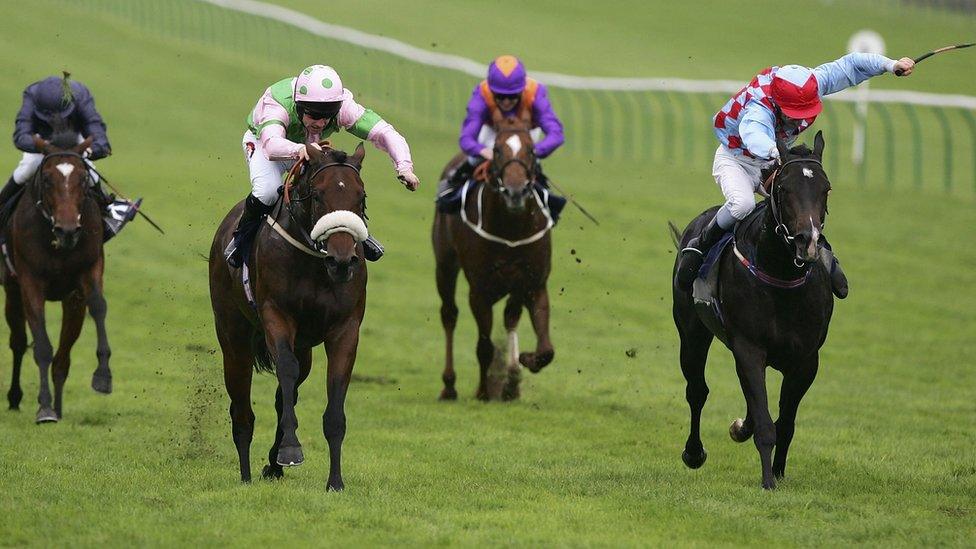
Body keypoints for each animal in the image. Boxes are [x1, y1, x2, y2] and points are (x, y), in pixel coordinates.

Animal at [2, 132, 113, 420]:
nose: (68, 230)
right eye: (48, 179)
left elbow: (97, 307)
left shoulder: (85, 277)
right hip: (11, 288)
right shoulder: (30, 282)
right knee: (18, 342)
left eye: (83, 179)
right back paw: (15, 397)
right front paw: (44, 408)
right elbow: (41, 345)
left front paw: (103, 376)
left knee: (60, 354)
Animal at [210, 142, 370, 488]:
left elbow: (333, 398)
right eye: (319, 195)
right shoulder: (276, 316)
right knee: (241, 406)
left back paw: (272, 463)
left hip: (305, 347)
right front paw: (291, 449)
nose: (342, 261)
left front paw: (335, 481)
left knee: (286, 394)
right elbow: (285, 368)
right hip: (233, 337)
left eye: (361, 196)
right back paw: (246, 474)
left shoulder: (346, 328)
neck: (314, 263)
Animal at [434, 109, 556, 400]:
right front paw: (483, 391)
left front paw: (522, 364)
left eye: (532, 150)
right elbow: (484, 345)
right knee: (449, 314)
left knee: (510, 316)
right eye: (498, 150)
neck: (511, 228)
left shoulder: (534, 284)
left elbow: (546, 349)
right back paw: (449, 385)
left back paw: (511, 379)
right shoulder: (480, 291)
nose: (515, 191)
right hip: (444, 264)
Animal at [672, 132, 840, 488]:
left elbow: (784, 423)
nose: (807, 241)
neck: (782, 278)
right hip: (691, 330)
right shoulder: (749, 348)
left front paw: (778, 473)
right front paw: (767, 481)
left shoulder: (806, 360)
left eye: (826, 188)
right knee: (697, 390)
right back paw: (694, 452)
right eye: (784, 188)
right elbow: (765, 424)